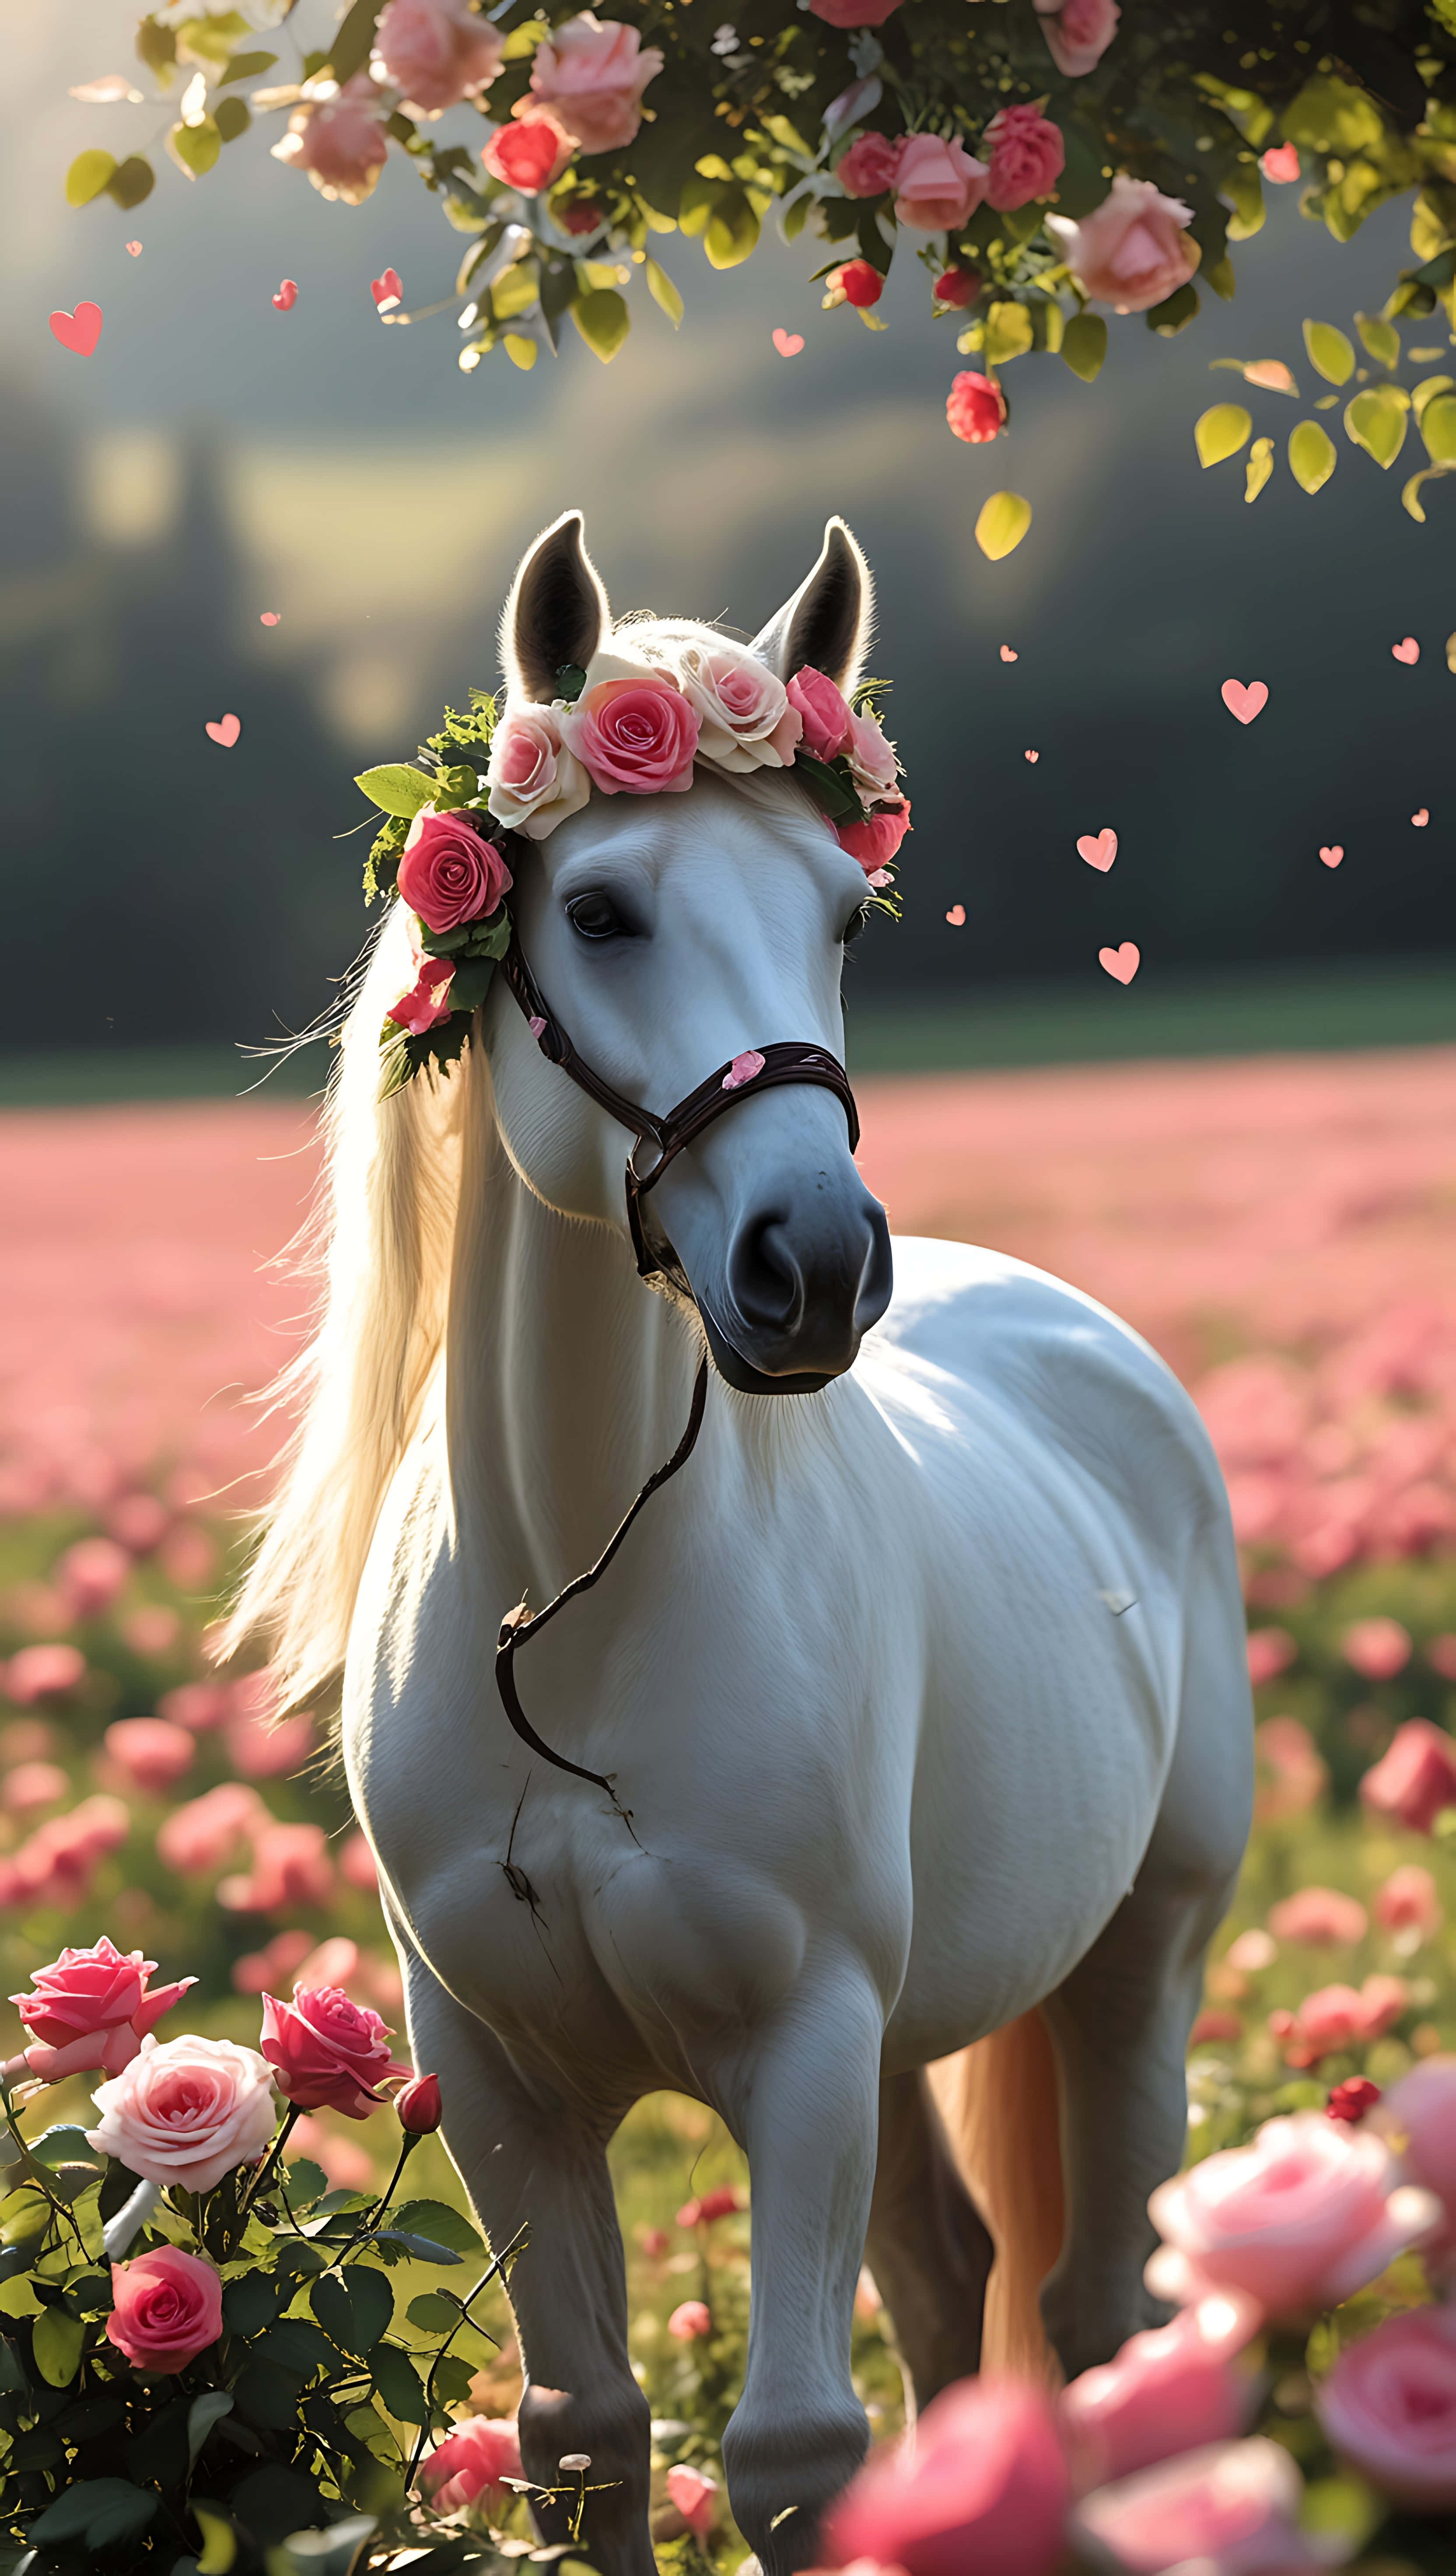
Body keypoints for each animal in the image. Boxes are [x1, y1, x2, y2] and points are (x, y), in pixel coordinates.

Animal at [228, 511, 1253, 2575]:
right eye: (606, 911)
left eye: (842, 917)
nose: (818, 1263)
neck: (572, 1609)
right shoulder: (500, 2073)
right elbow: (585, 2431)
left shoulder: (804, 2045)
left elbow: (787, 2444)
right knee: (953, 2286)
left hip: (1139, 1966)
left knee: (1100, 2315)